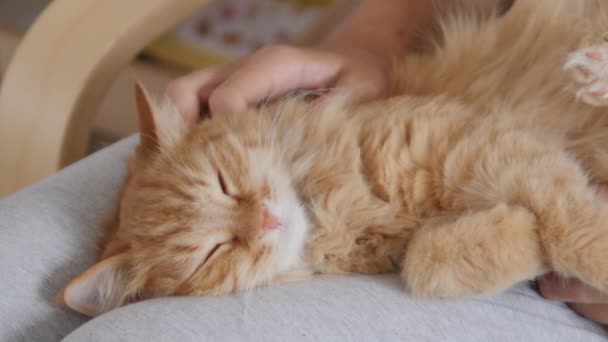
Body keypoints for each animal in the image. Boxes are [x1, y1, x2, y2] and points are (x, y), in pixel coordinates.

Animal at [60, 0, 608, 316]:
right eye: (210, 253)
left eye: (222, 181)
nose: (264, 220)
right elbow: (428, 264)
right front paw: (518, 234)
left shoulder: (484, 144)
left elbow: (576, 233)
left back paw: (593, 70)